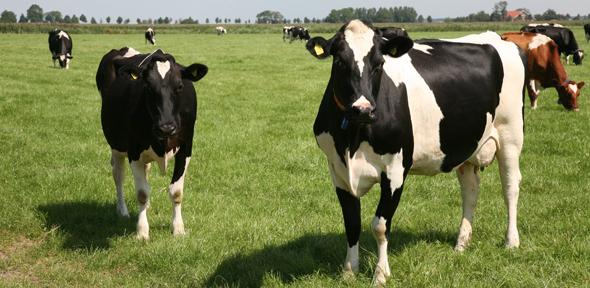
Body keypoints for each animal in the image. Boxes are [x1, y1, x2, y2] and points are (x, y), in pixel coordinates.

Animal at [96, 47, 209, 241]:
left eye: (180, 86)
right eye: (148, 86)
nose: (166, 127)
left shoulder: (186, 148)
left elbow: (176, 192)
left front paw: (178, 229)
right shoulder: (134, 151)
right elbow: (142, 193)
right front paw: (142, 231)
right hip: (116, 146)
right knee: (118, 176)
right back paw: (123, 210)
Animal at [308, 20, 524, 286]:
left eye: (379, 64)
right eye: (339, 61)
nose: (363, 109)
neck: (353, 139)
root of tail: (496, 37)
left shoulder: (395, 169)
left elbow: (380, 225)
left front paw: (380, 274)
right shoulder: (337, 170)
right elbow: (352, 222)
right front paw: (349, 271)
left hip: (511, 134)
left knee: (510, 187)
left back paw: (511, 241)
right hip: (468, 144)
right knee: (470, 191)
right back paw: (462, 243)